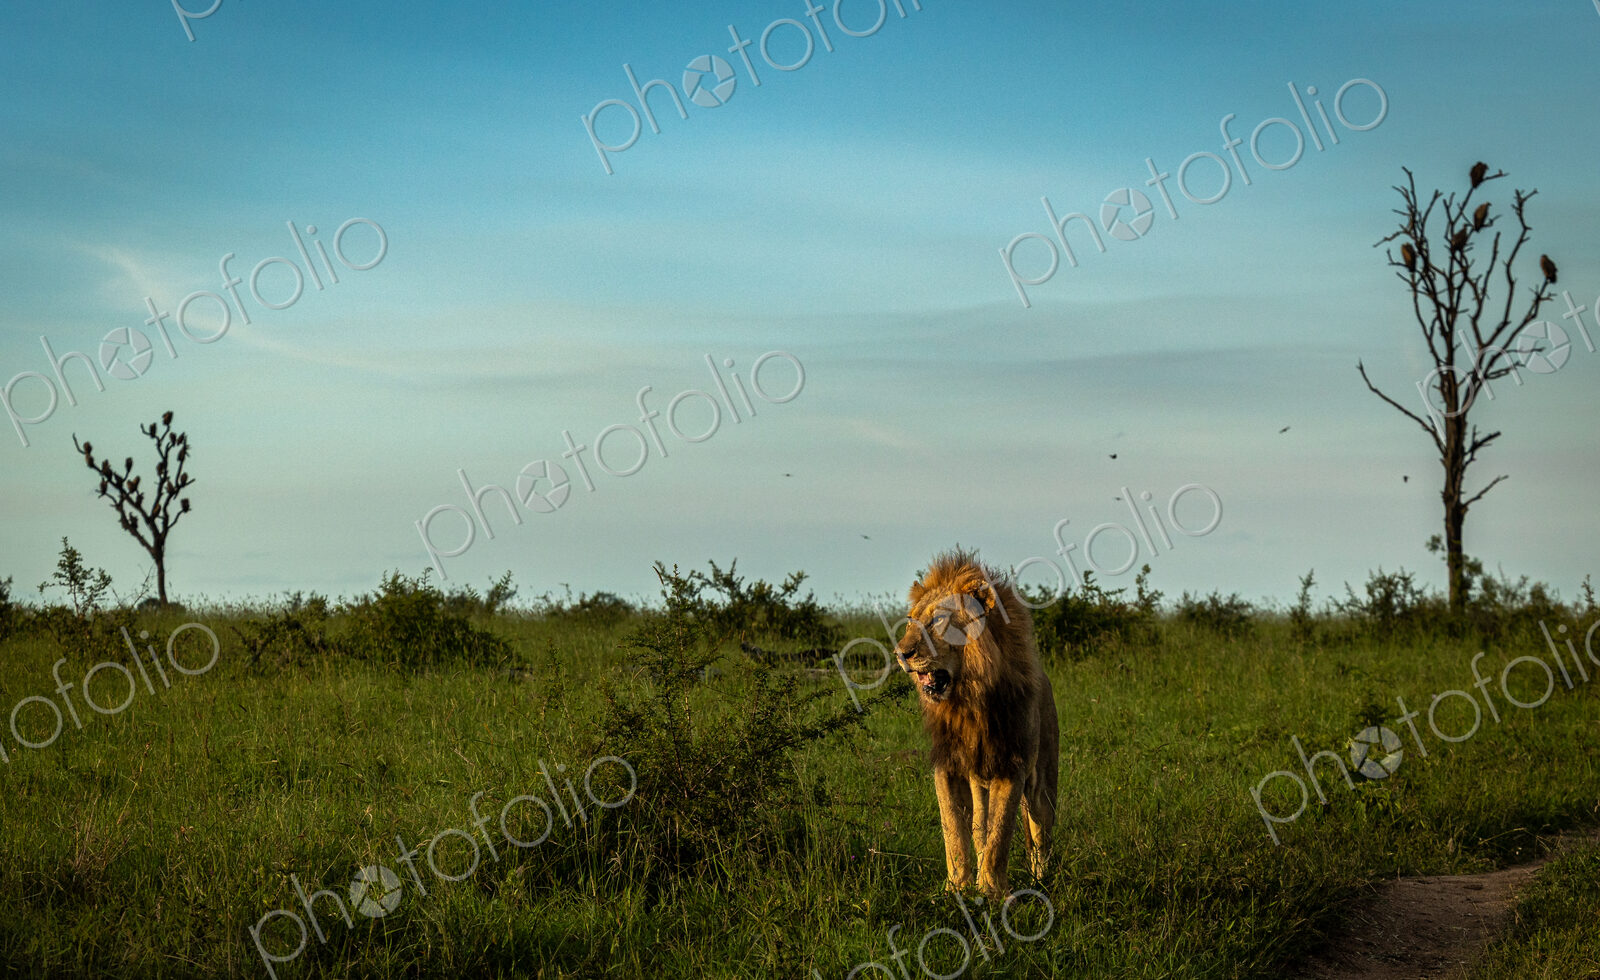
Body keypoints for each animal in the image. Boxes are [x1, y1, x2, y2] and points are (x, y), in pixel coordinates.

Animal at [892, 549, 1059, 900]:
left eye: (938, 620)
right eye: (911, 621)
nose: (901, 653)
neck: (968, 700)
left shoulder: (1012, 766)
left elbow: (1001, 835)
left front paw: (993, 892)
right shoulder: (949, 767)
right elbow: (954, 831)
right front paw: (957, 888)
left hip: (1043, 784)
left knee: (1040, 834)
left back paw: (1042, 882)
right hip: (979, 783)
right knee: (979, 828)